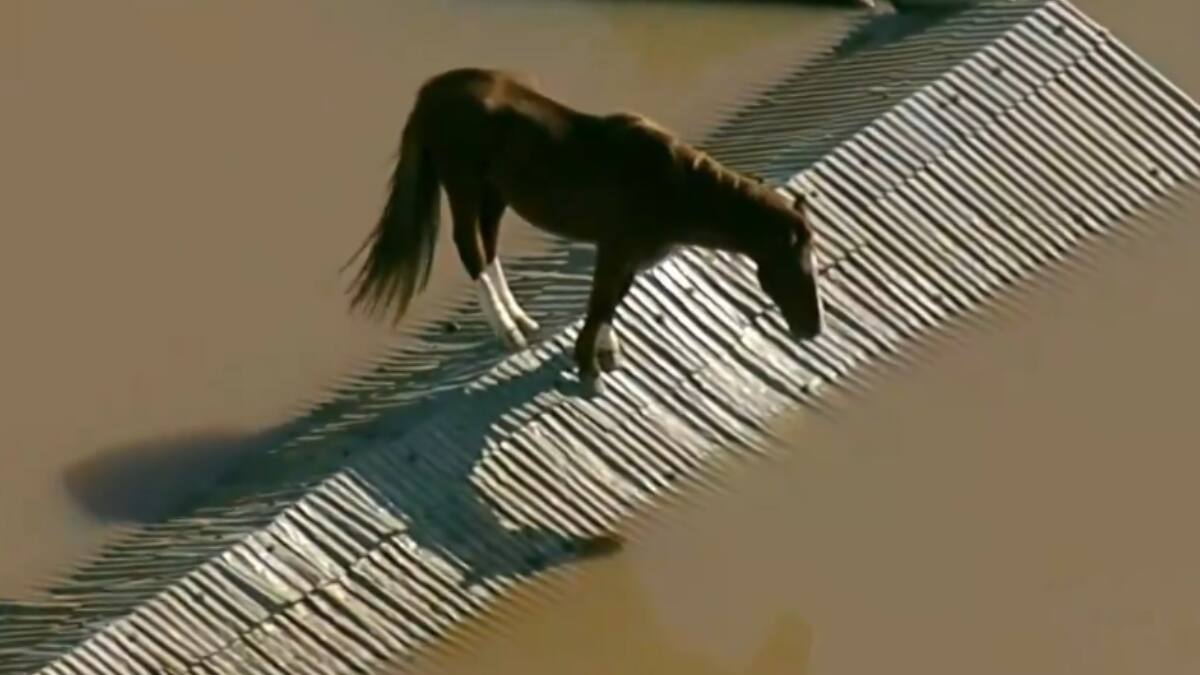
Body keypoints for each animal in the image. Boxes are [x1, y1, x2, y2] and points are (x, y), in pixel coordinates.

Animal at [343, 67, 824, 392]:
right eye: (795, 266)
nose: (813, 330)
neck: (674, 188)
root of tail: (433, 90)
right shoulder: (614, 248)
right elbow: (599, 304)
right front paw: (589, 371)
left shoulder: (628, 255)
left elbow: (611, 302)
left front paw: (606, 355)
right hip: (463, 185)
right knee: (471, 248)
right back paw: (508, 331)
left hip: (494, 195)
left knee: (488, 246)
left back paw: (521, 321)